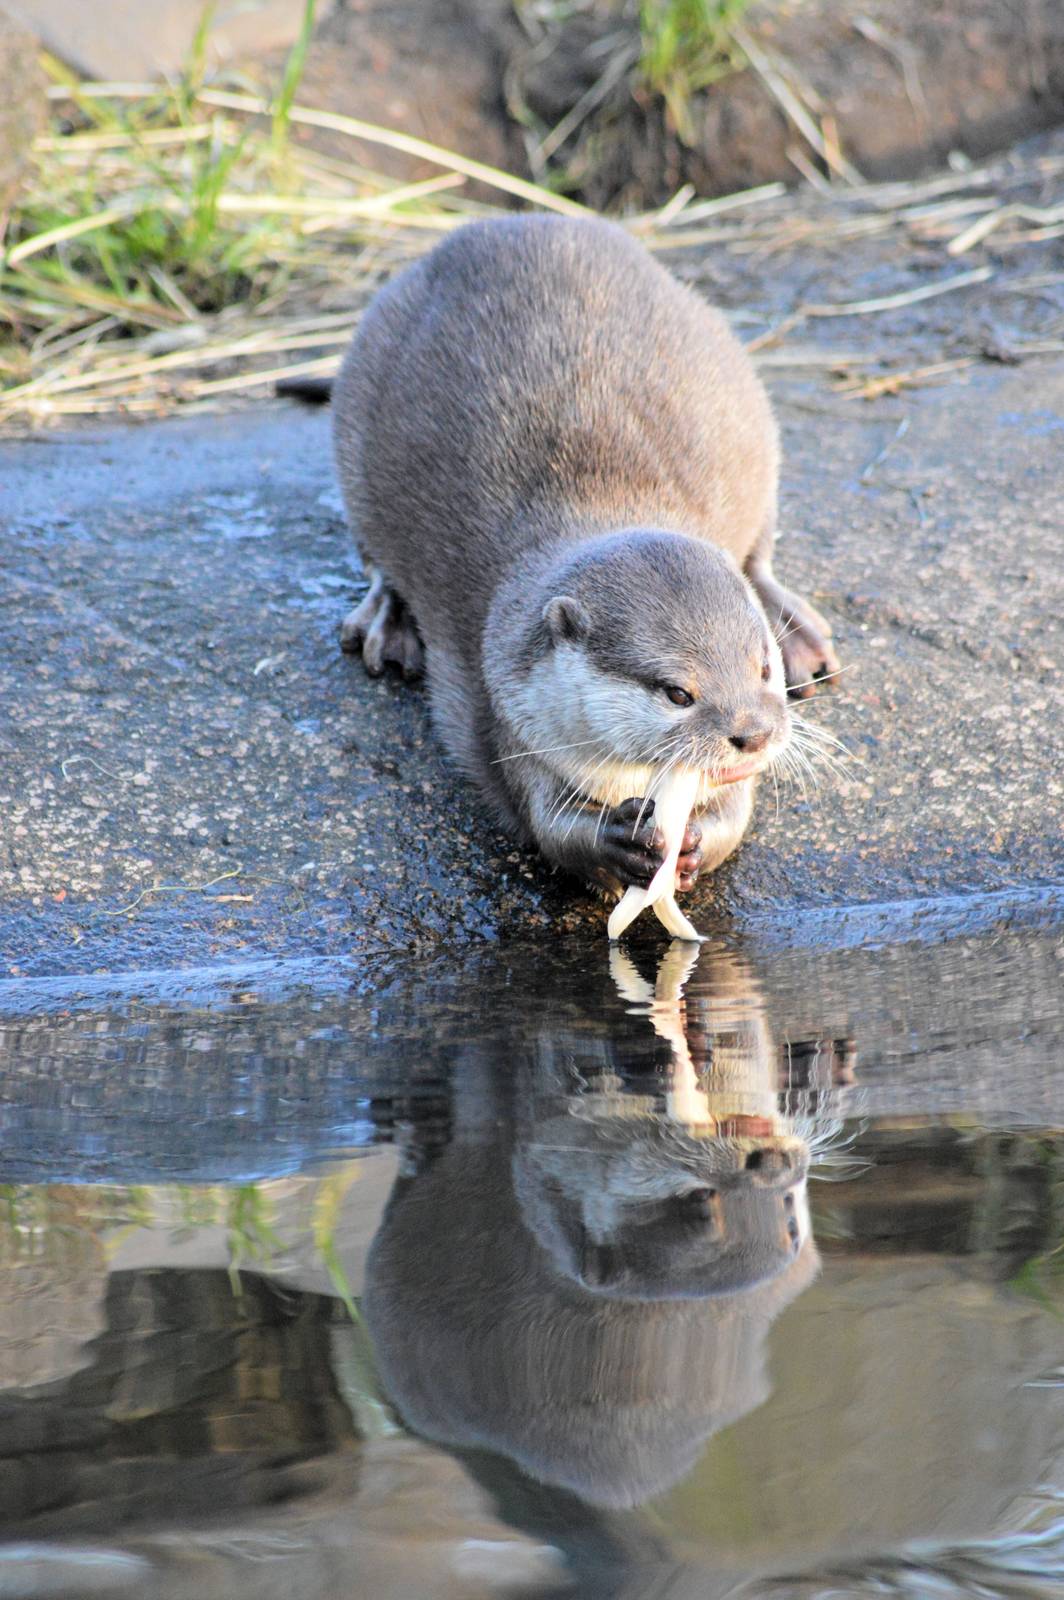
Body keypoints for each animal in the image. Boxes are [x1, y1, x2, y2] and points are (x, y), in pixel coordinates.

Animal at [323, 215, 840, 894]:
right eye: (677, 693)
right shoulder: (508, 717)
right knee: (376, 558)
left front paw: (700, 840)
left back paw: (799, 631)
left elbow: (737, 812)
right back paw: (388, 622)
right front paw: (611, 841)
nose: (753, 735)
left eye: (760, 668)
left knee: (759, 555)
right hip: (354, 424)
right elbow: (545, 825)